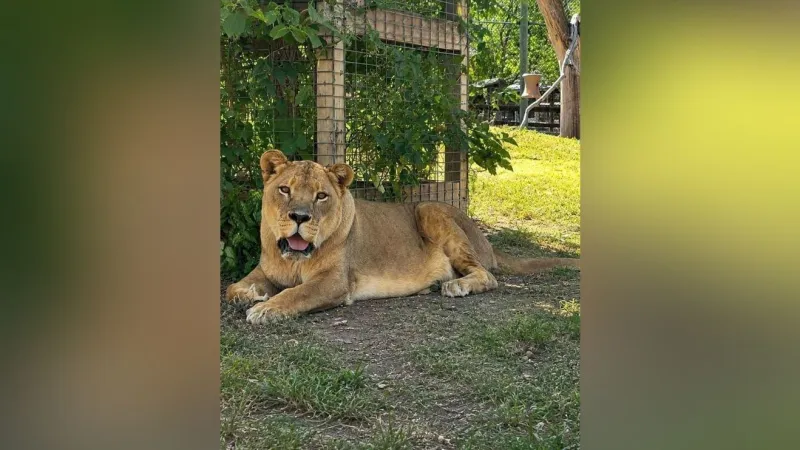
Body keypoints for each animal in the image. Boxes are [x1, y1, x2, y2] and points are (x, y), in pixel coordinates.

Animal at [225, 150, 579, 324]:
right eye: (285, 189)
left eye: (321, 196)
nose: (299, 217)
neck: (294, 261)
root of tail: (486, 240)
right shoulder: (266, 270)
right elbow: (233, 288)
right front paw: (252, 295)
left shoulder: (334, 282)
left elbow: (296, 293)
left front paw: (265, 310)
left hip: (429, 209)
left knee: (487, 275)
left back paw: (455, 286)